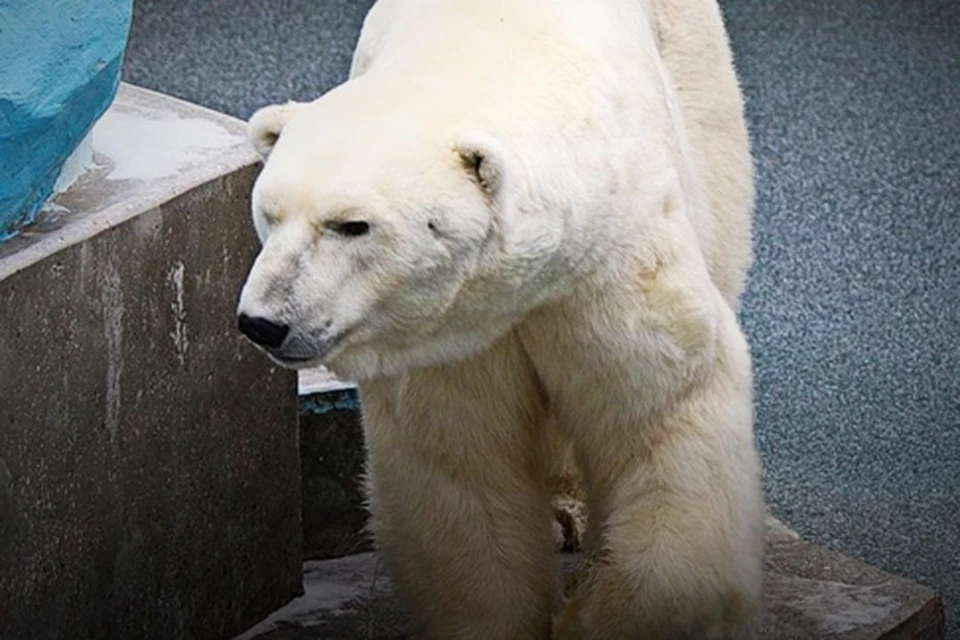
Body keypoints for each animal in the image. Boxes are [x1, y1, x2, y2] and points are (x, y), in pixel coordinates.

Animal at [238, 0, 764, 636]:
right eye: (269, 213)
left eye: (351, 225)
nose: (264, 322)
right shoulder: (449, 335)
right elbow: (463, 468)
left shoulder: (609, 261)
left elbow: (663, 414)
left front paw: (596, 615)